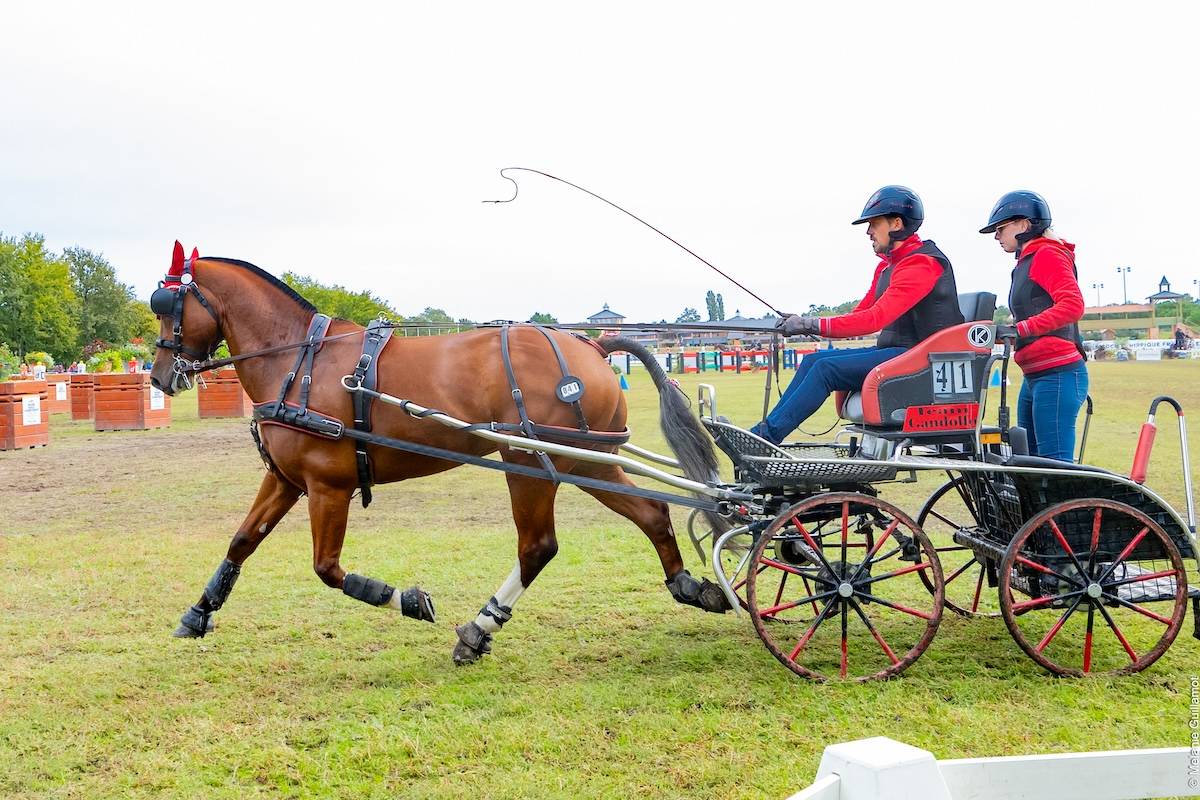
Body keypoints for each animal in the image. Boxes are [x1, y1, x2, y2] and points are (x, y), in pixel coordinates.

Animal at [150, 242, 729, 662]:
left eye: (167, 305)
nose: (159, 377)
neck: (298, 359)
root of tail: (592, 343)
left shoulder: (327, 485)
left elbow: (327, 568)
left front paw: (405, 598)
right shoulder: (288, 479)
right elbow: (243, 541)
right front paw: (198, 613)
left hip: (528, 464)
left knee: (537, 547)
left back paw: (478, 629)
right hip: (587, 459)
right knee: (651, 513)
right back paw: (688, 585)